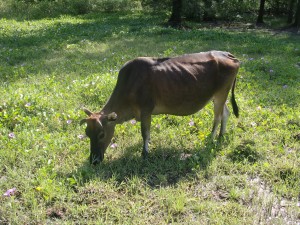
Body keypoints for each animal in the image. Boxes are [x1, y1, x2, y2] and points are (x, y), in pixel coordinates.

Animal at [79, 50, 239, 163]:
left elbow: (145, 133)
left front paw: (145, 153)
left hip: (221, 93)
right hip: (219, 96)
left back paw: (211, 139)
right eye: (87, 133)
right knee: (226, 113)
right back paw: (221, 136)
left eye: (102, 134)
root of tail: (228, 55)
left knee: (217, 117)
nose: (94, 161)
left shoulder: (146, 110)